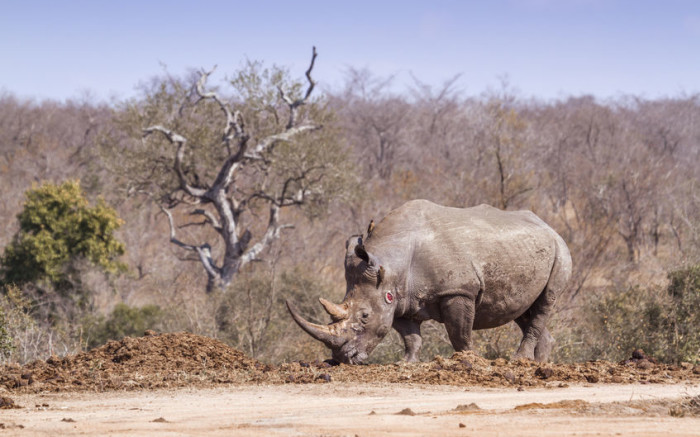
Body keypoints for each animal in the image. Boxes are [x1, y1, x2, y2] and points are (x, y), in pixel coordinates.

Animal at [288, 199, 572, 362]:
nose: (342, 358)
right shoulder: (400, 299)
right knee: (523, 309)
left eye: (365, 316)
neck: (389, 263)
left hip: (560, 249)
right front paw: (406, 363)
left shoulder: (458, 290)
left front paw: (466, 362)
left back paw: (518, 361)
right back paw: (536, 364)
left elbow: (459, 333)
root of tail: (548, 225)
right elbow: (410, 337)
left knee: (546, 301)